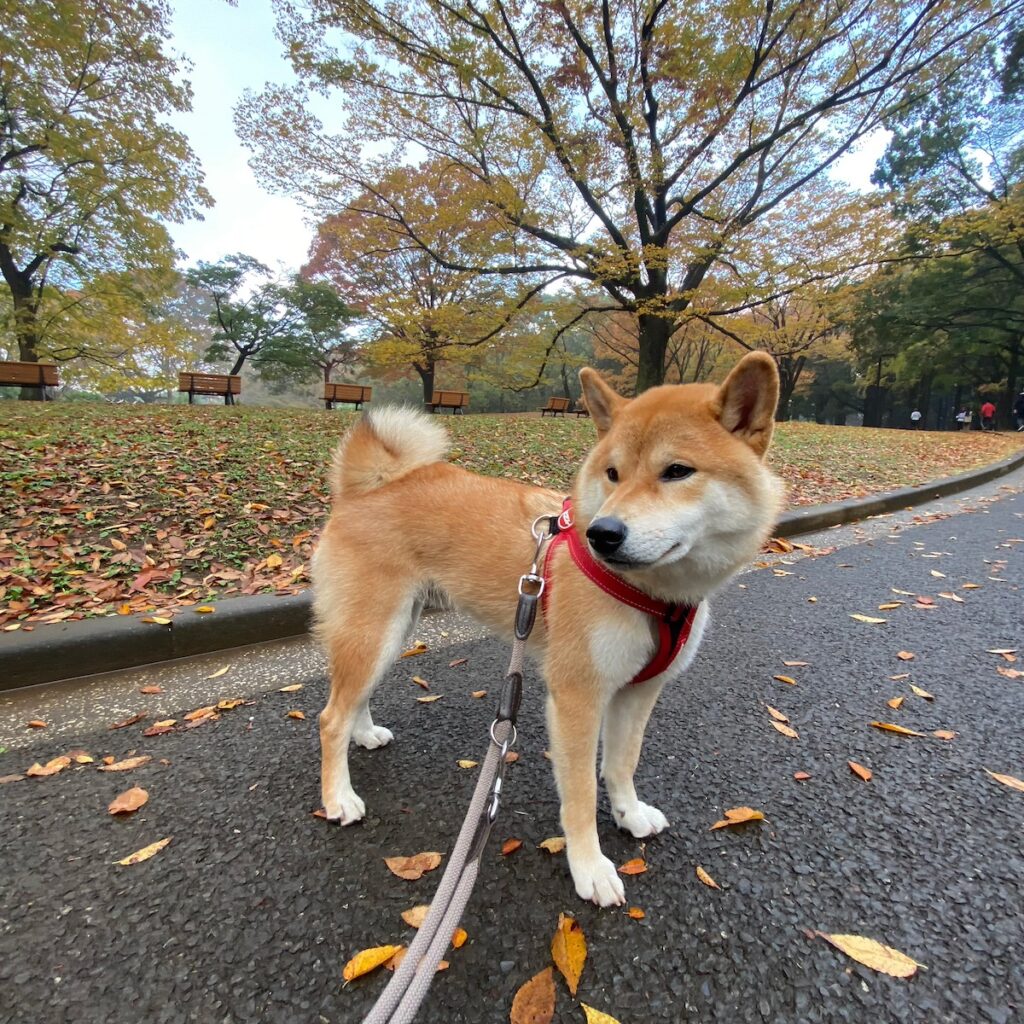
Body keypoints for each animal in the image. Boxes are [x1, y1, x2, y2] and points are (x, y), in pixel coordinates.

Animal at [309, 352, 774, 905]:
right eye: (613, 474)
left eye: (677, 471)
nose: (602, 534)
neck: (654, 595)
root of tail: (366, 488)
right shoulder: (577, 697)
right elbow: (580, 794)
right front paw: (590, 867)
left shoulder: (639, 691)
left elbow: (622, 764)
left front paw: (629, 813)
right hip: (374, 631)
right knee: (330, 717)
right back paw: (339, 797)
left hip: (391, 632)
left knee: (353, 698)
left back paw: (364, 735)